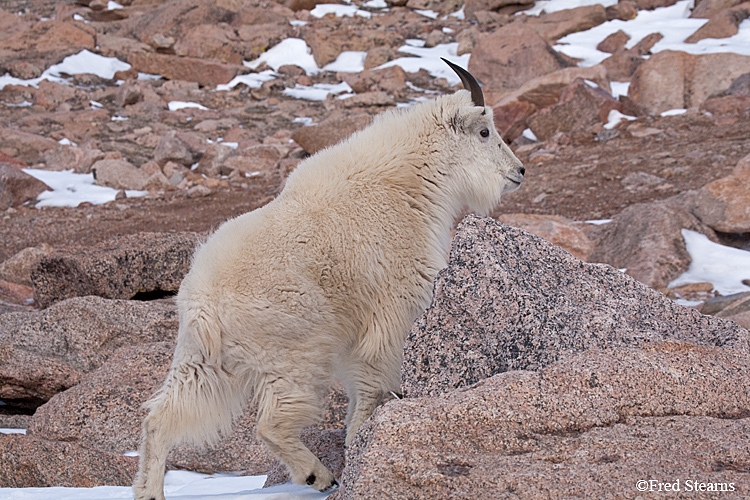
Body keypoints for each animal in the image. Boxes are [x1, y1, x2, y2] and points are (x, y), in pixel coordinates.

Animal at [132, 59, 525, 499]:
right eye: (485, 131)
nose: (519, 171)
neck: (411, 179)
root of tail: (202, 306)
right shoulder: (393, 306)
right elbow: (372, 379)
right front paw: (359, 439)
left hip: (203, 362)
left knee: (160, 419)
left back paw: (150, 492)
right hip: (297, 350)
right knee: (270, 424)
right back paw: (316, 474)